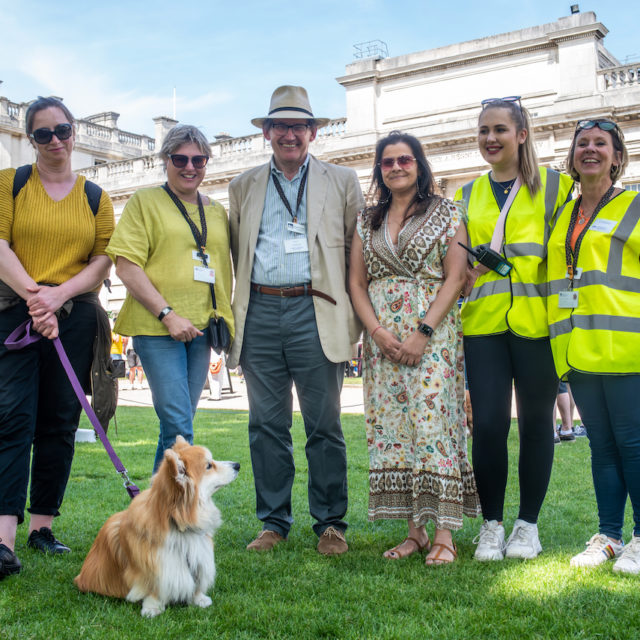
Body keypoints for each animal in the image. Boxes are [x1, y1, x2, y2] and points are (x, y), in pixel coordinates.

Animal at [74, 438, 240, 616]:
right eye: (209, 465)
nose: (237, 465)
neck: (177, 521)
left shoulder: (199, 556)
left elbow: (196, 582)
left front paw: (199, 599)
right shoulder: (156, 564)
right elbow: (153, 587)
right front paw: (152, 608)